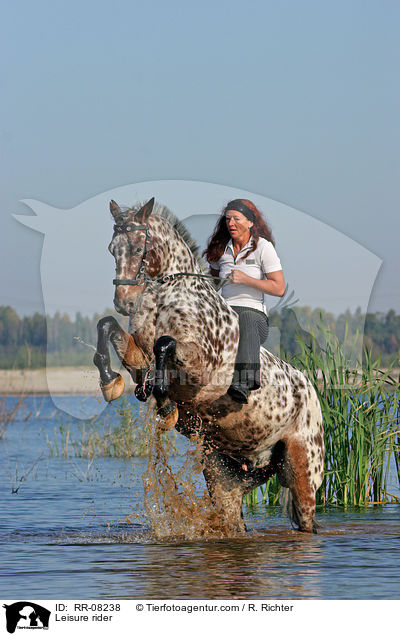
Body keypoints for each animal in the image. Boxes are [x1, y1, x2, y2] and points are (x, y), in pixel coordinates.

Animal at [94, 198, 324, 532]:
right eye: (112, 248)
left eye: (138, 248)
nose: (125, 302)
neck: (166, 298)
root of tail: (311, 391)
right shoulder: (138, 359)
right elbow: (107, 326)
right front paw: (111, 382)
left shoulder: (198, 366)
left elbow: (165, 344)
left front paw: (165, 404)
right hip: (223, 472)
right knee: (233, 515)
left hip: (304, 472)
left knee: (307, 520)